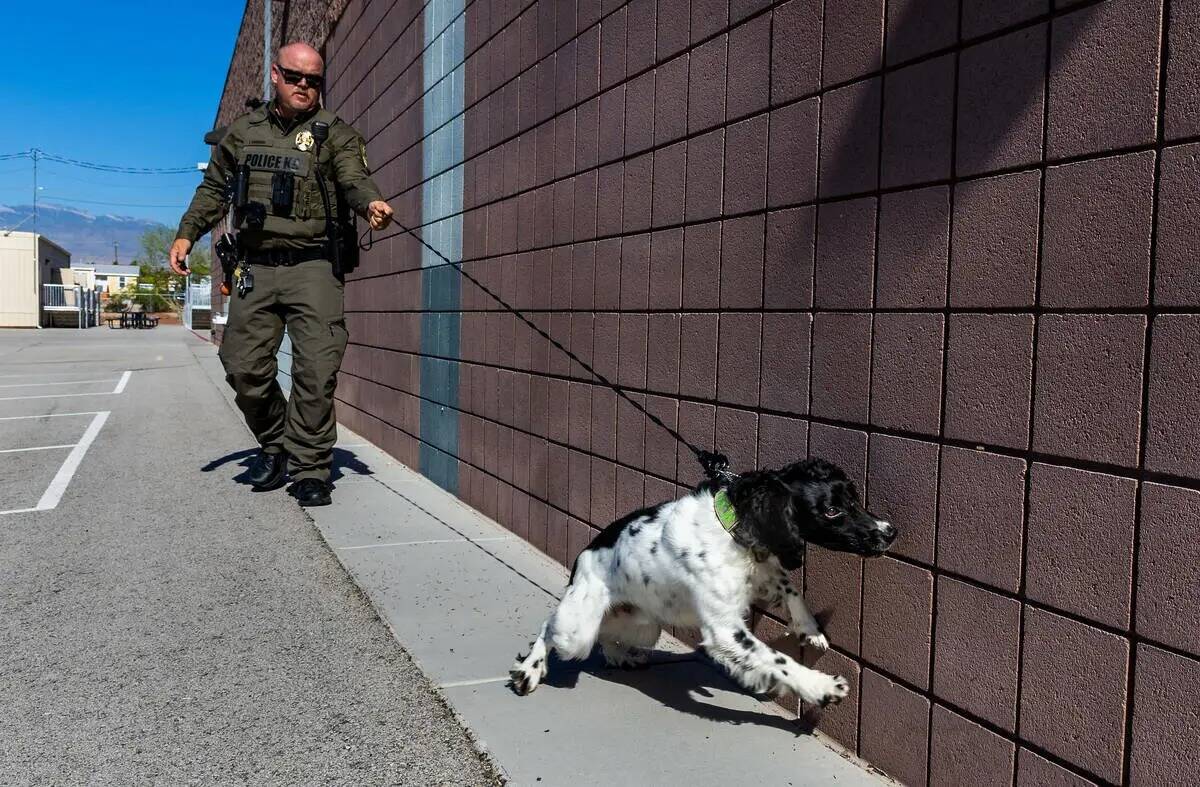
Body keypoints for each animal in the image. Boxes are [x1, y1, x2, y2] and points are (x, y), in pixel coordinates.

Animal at [511, 455, 897, 705]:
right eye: (832, 510)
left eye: (855, 499)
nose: (890, 532)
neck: (733, 528)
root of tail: (583, 556)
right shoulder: (724, 629)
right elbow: (777, 660)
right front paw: (821, 687)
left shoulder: (761, 574)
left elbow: (789, 586)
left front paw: (809, 628)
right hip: (576, 630)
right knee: (548, 628)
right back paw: (529, 670)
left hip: (643, 625)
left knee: (608, 637)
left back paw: (622, 658)